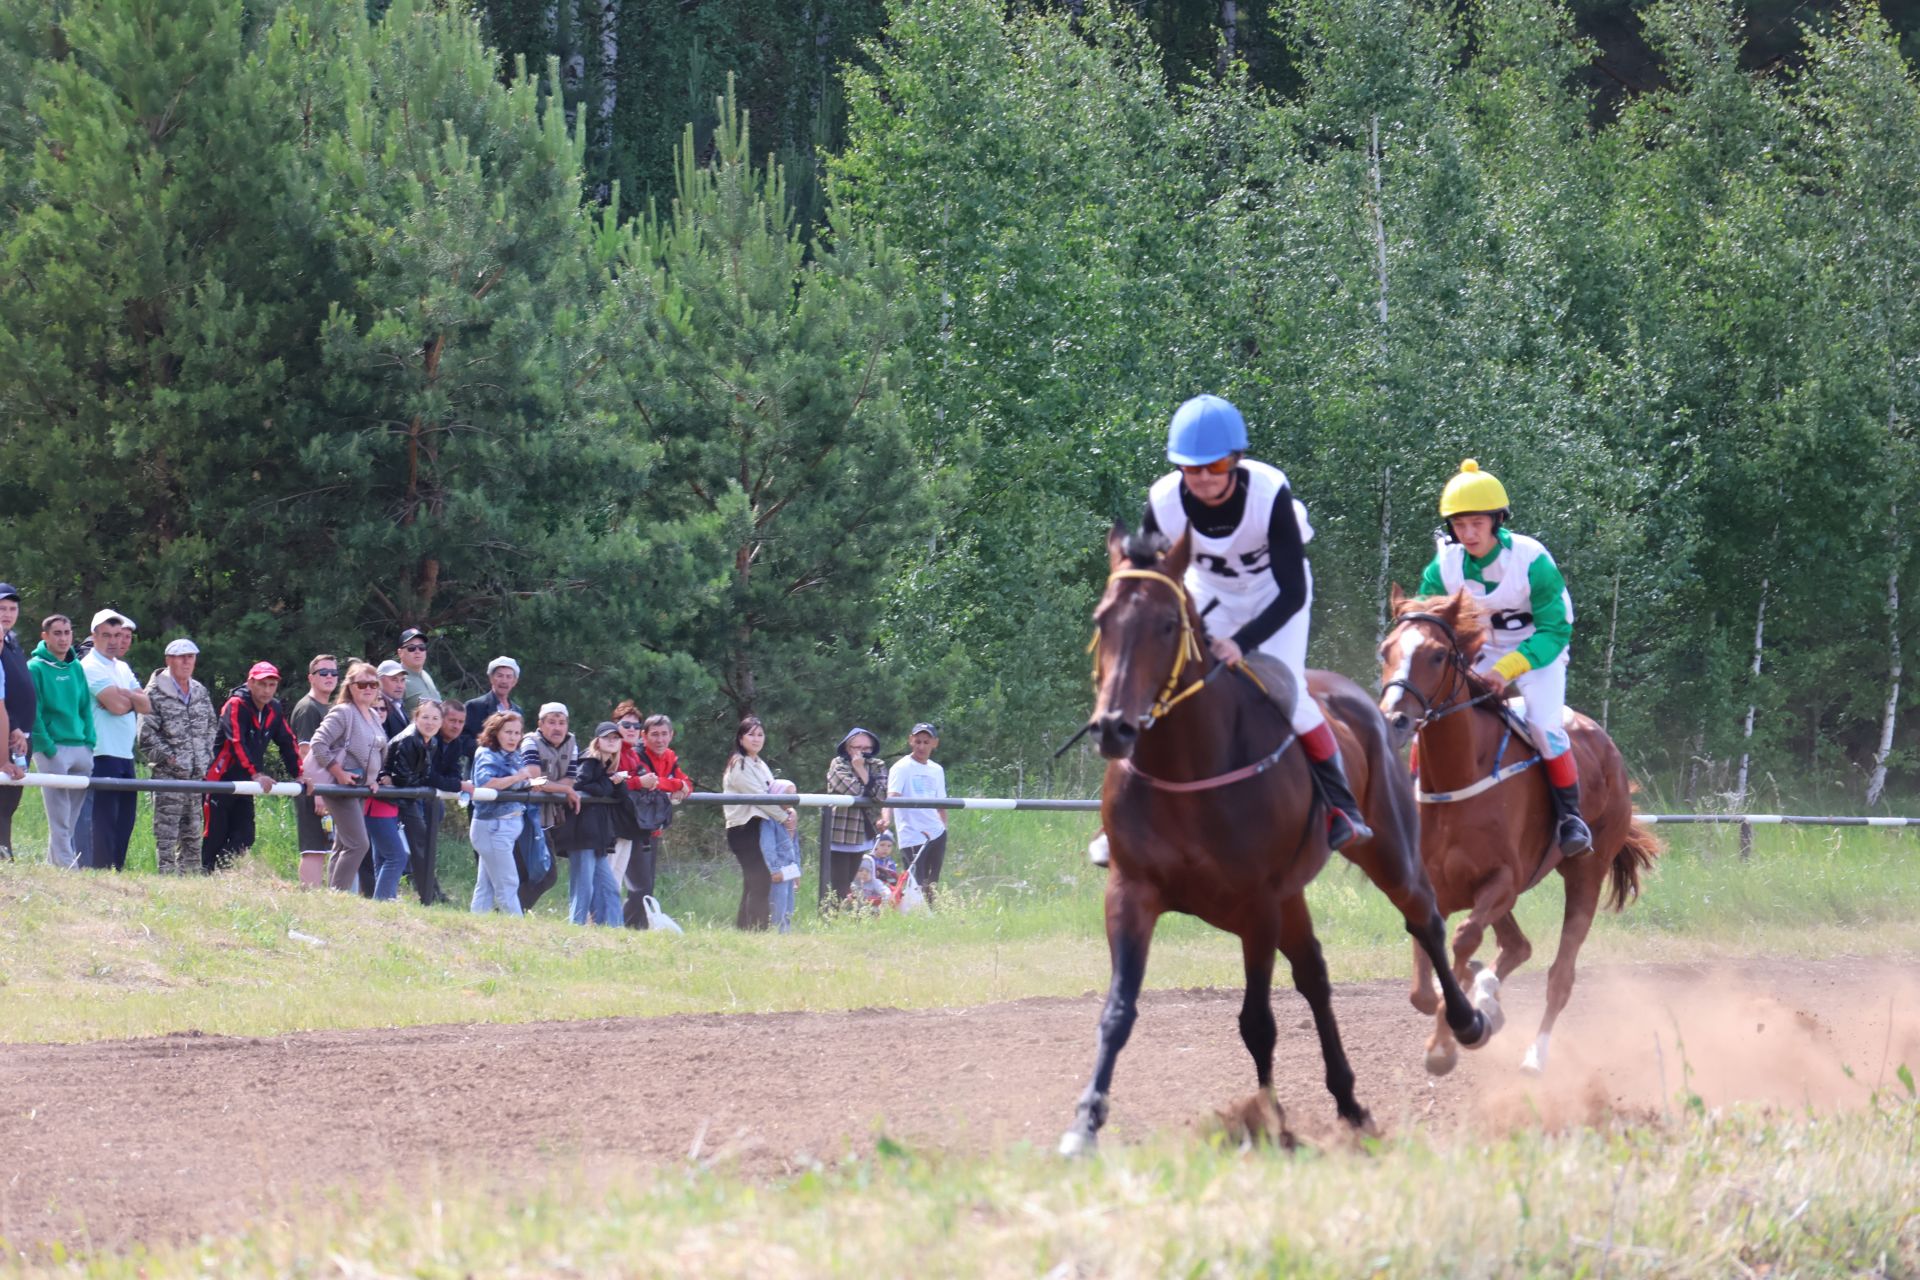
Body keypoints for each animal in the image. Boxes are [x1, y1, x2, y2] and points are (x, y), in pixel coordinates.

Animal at [1067, 533, 1482, 1159]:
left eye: (1167, 624)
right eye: (1103, 619)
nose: (1114, 726)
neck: (1187, 766)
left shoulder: (1256, 904)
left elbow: (1256, 1022)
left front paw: (1266, 1122)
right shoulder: (1131, 891)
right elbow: (1118, 1011)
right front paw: (1085, 1125)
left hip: (1387, 853)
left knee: (1425, 920)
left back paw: (1461, 1023)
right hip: (1292, 895)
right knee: (1315, 975)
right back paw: (1349, 1102)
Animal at [1374, 594, 1658, 1074]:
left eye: (1438, 655)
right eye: (1385, 650)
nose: (1393, 719)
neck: (1457, 777)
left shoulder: (1503, 880)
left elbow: (1464, 939)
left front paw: (1451, 1038)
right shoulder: (1433, 884)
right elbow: (1424, 986)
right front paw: (1474, 1003)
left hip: (1585, 873)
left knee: (1560, 975)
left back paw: (1533, 1055)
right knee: (1517, 946)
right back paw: (1489, 997)